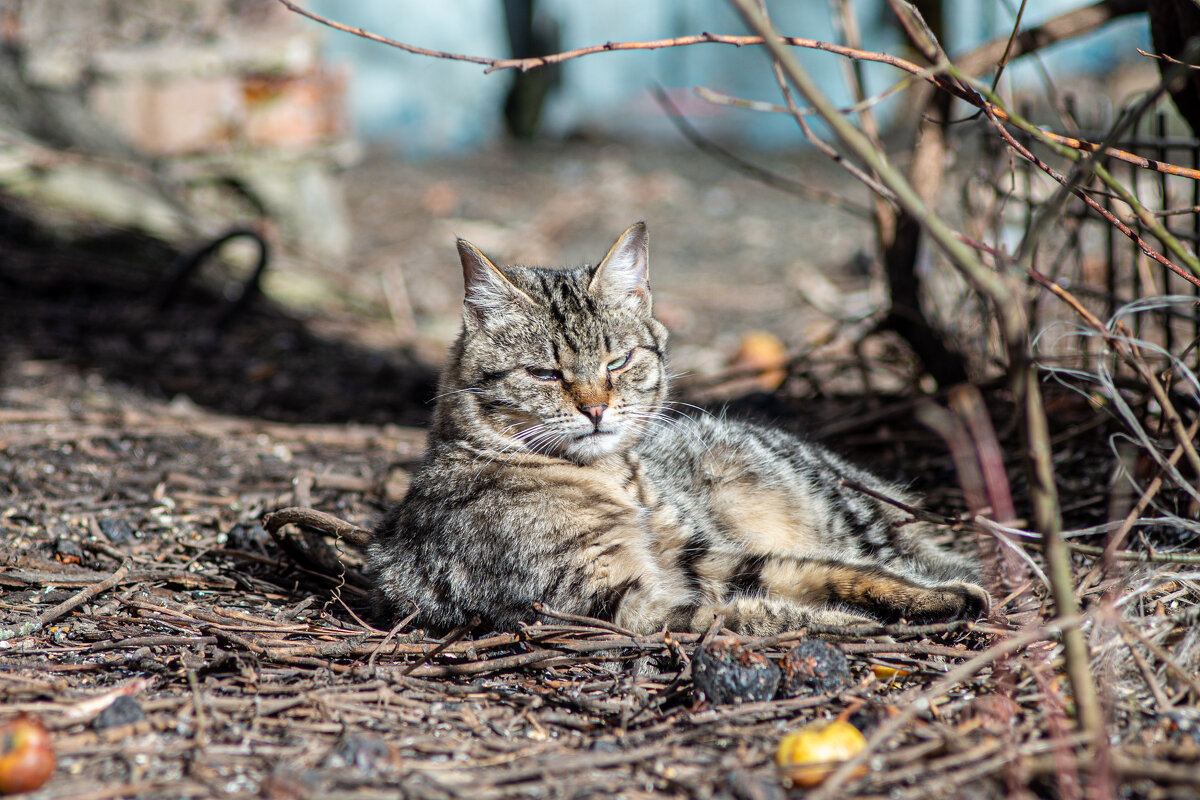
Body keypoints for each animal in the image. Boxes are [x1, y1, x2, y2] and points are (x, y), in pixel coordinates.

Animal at [369, 221, 988, 633]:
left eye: (618, 361)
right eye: (545, 373)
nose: (596, 408)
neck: (614, 479)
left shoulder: (699, 553)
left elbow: (820, 571)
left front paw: (931, 599)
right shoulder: (612, 601)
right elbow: (752, 613)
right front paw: (847, 622)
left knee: (892, 551)